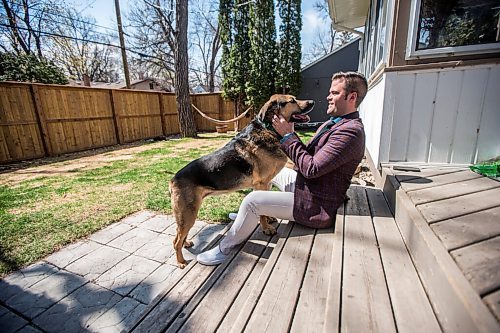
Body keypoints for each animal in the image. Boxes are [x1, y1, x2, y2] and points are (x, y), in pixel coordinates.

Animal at [170, 94, 314, 268]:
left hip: (187, 214)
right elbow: (262, 214)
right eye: (291, 101)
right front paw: (266, 228)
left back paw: (187, 244)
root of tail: (173, 179)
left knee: (179, 235)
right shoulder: (261, 184)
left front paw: (269, 219)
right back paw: (181, 262)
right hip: (188, 214)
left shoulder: (266, 184)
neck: (268, 129)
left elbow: (265, 210)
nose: (312, 102)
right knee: (176, 240)